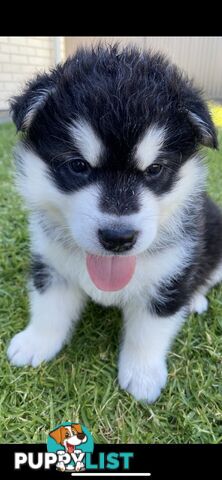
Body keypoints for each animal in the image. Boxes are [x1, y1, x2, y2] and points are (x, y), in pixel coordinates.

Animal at [6, 47, 222, 404]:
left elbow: (149, 329)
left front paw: (143, 373)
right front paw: (36, 341)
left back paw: (194, 299)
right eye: (78, 166)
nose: (118, 238)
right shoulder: (51, 264)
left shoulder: (168, 276)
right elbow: (49, 307)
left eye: (155, 169)